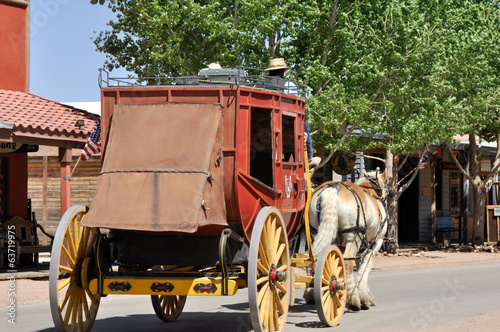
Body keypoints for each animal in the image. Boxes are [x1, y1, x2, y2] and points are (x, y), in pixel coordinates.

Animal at [306, 171, 392, 312]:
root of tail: (332, 189)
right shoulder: (375, 243)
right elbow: (364, 267)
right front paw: (364, 297)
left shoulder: (360, 247)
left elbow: (357, 265)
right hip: (353, 237)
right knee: (347, 263)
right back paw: (353, 300)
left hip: (317, 235)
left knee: (315, 262)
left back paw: (313, 293)